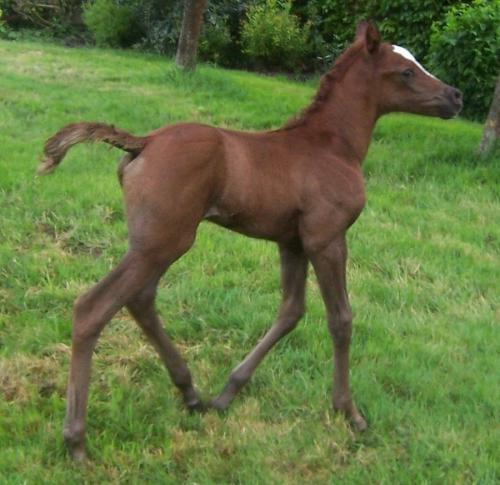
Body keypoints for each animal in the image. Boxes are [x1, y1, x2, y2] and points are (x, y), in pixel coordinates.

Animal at [38, 23, 460, 462]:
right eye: (406, 71)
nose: (455, 97)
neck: (331, 145)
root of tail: (145, 142)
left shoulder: (292, 242)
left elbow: (291, 311)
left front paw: (228, 392)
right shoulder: (327, 238)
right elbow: (340, 319)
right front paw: (349, 412)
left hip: (157, 241)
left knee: (140, 299)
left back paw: (191, 393)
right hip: (164, 241)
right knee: (94, 307)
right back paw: (76, 441)